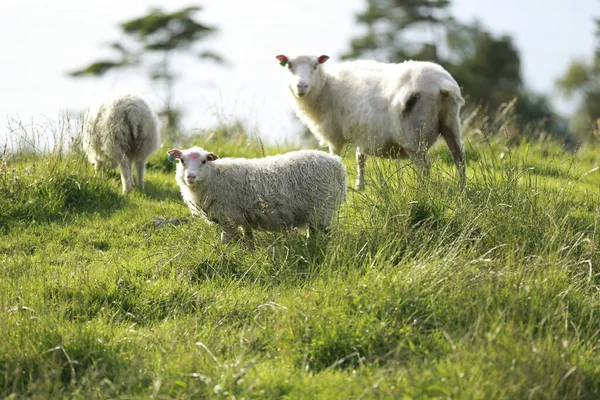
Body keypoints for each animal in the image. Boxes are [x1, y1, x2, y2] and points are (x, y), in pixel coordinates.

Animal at [168, 148, 346, 244]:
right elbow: (249, 240)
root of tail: (338, 164)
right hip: (316, 212)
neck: (215, 177)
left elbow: (224, 242)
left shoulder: (229, 218)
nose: (190, 177)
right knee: (313, 233)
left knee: (330, 235)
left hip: (323, 208)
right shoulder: (242, 219)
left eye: (204, 161)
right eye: (182, 160)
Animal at [276, 54, 468, 190]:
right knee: (459, 157)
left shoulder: (334, 135)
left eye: (315, 66)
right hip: (451, 122)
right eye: (289, 66)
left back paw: (424, 190)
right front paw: (360, 185)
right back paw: (462, 187)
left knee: (425, 165)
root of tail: (442, 85)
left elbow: (336, 158)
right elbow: (360, 157)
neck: (325, 87)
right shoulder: (365, 131)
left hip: (414, 133)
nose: (301, 86)